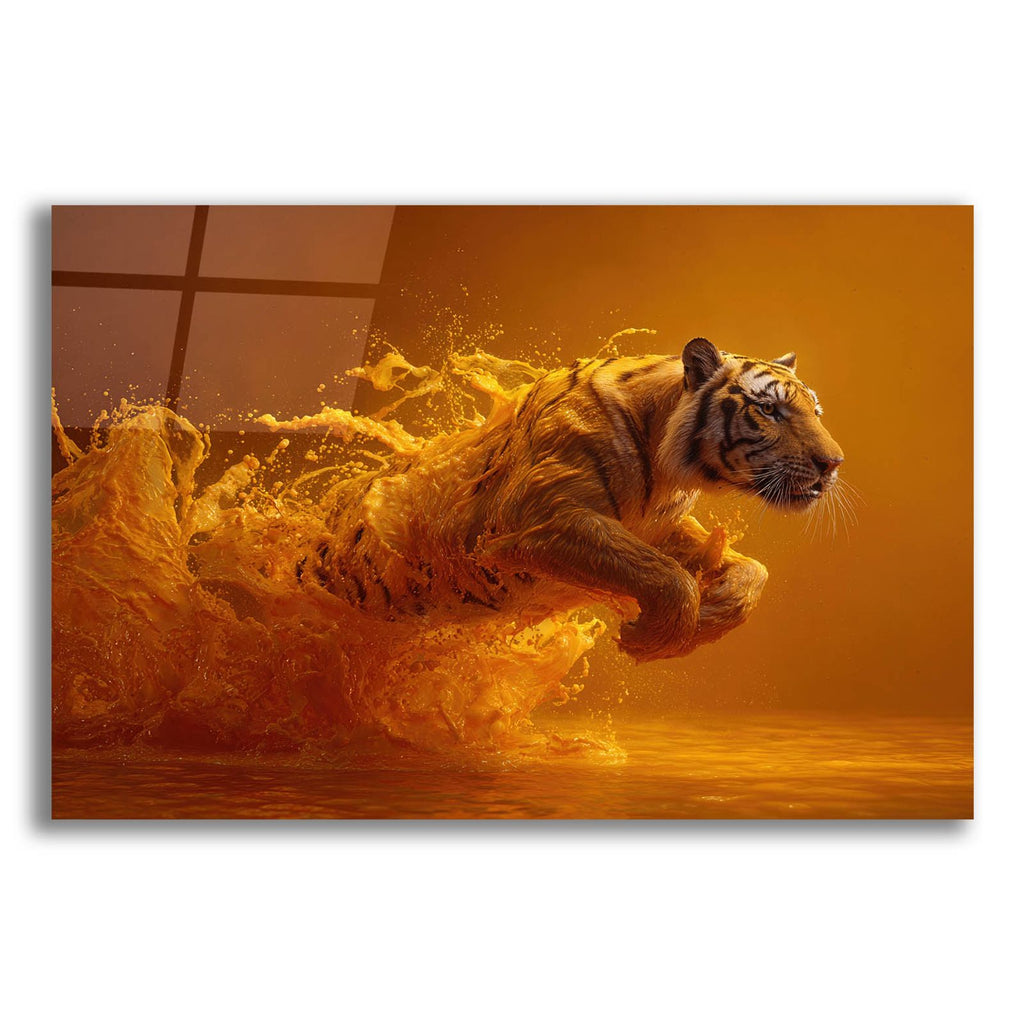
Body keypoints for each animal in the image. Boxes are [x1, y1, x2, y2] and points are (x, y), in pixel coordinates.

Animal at [306, 337, 845, 663]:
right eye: (768, 410)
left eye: (816, 411)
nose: (833, 463)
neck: (668, 472)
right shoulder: (541, 514)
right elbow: (666, 576)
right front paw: (652, 641)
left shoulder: (659, 526)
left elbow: (753, 569)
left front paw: (712, 615)